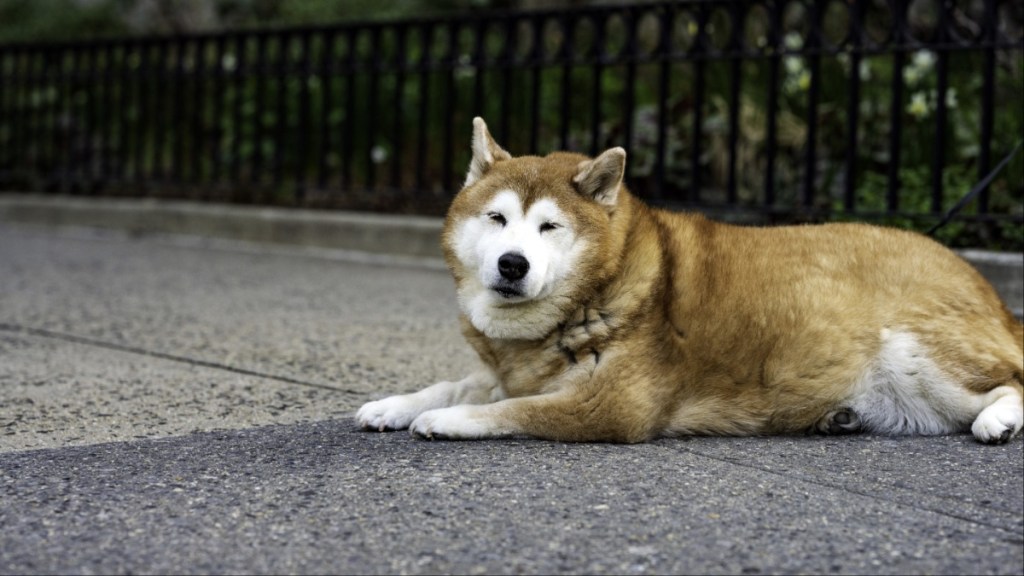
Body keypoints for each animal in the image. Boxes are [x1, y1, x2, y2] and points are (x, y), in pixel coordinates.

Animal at [356, 114, 1019, 440]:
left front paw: (442, 421)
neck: (600, 290)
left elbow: (510, 411)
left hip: (911, 349)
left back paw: (996, 420)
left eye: (548, 227)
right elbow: (458, 384)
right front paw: (395, 404)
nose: (511, 264)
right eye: (496, 219)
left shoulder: (612, 406)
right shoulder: (515, 371)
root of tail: (984, 287)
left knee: (1010, 383)